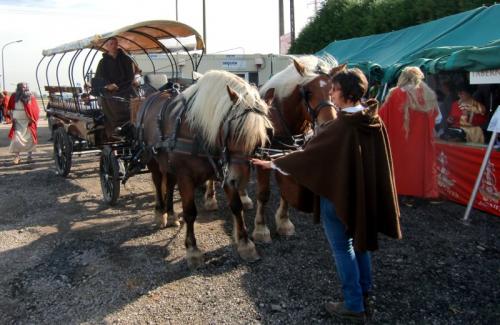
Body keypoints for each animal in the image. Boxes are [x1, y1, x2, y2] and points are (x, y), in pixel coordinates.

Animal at [139, 69, 274, 268]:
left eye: (264, 133)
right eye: (233, 131)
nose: (239, 181)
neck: (197, 130)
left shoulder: (225, 170)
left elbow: (236, 206)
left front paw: (245, 244)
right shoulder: (186, 176)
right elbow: (190, 212)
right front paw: (192, 250)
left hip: (169, 165)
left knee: (169, 185)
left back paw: (170, 215)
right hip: (153, 161)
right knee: (158, 183)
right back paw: (159, 214)